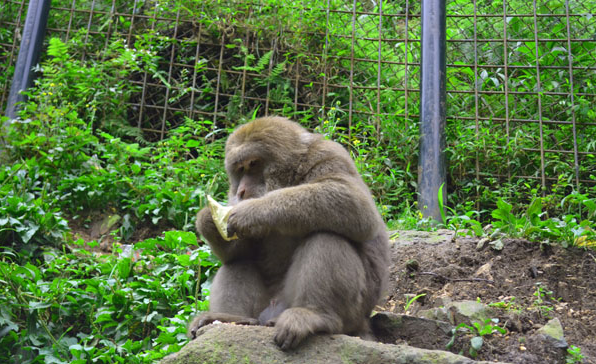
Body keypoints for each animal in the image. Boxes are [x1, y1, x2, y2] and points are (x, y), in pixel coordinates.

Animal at [187, 116, 392, 350]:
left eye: (253, 164)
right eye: (240, 169)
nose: (242, 191)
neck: (291, 177)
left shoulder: (328, 156)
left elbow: (356, 205)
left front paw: (254, 210)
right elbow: (238, 250)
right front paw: (208, 220)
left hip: (352, 311)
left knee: (326, 236)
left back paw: (315, 315)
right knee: (238, 262)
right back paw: (232, 318)